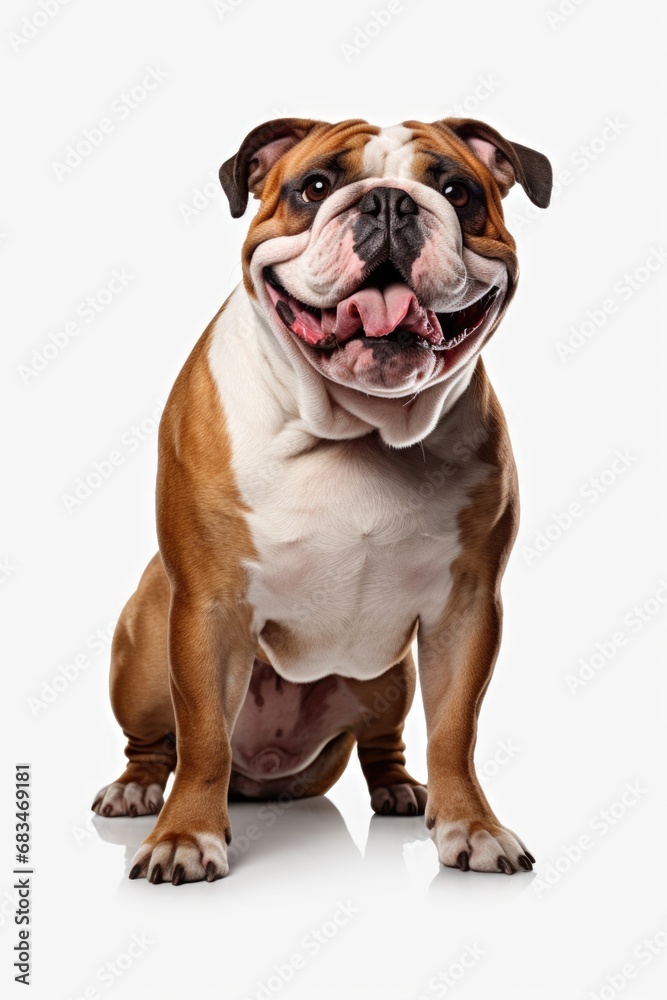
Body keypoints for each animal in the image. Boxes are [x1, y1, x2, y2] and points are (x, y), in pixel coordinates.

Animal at [94, 115, 552, 884]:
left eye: (457, 192)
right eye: (314, 187)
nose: (390, 203)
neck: (357, 428)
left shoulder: (465, 609)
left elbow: (454, 729)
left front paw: (472, 826)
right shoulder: (208, 607)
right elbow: (203, 733)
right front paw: (185, 835)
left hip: (388, 680)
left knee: (385, 742)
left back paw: (401, 790)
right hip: (146, 652)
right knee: (160, 741)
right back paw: (137, 790)